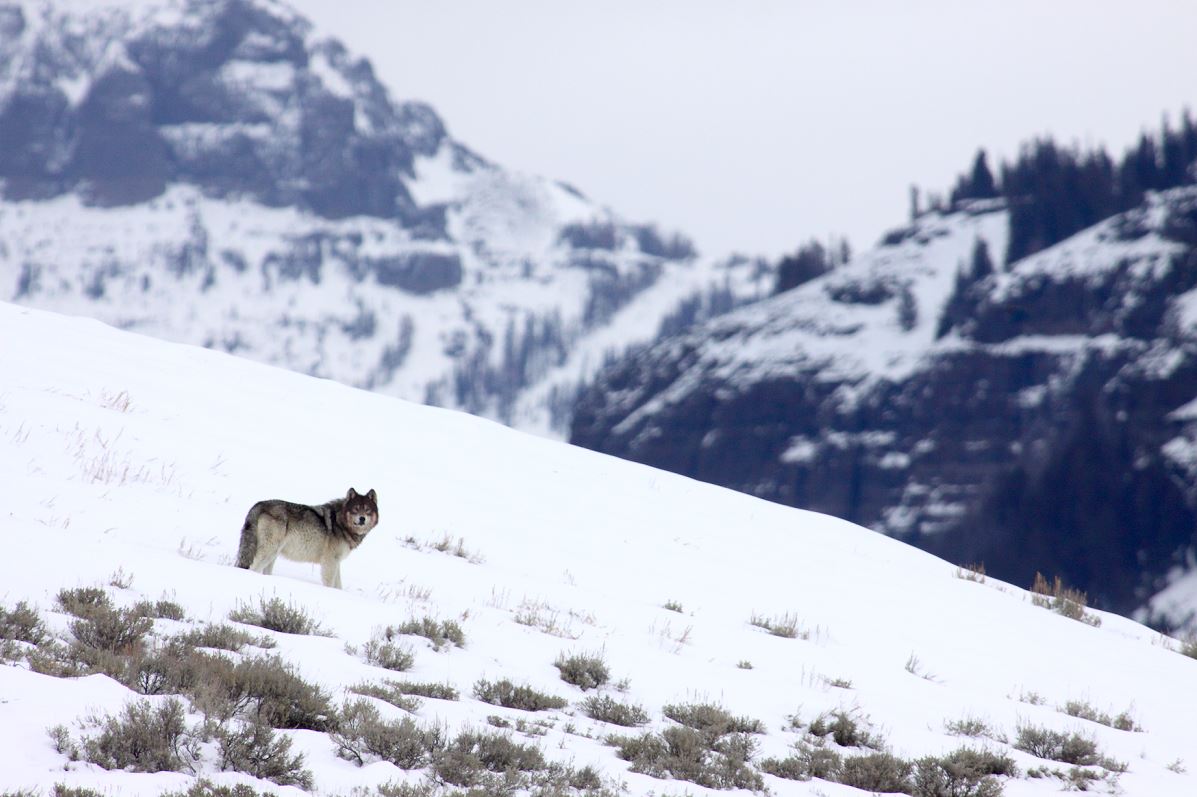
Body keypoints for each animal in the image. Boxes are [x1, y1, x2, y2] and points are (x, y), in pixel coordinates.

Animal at [234, 488, 378, 586]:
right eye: (355, 509)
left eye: (367, 510)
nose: (362, 518)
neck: (340, 521)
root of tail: (259, 504)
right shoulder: (330, 561)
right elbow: (330, 583)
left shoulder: (336, 562)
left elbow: (338, 586)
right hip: (268, 553)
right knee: (253, 568)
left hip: (272, 556)